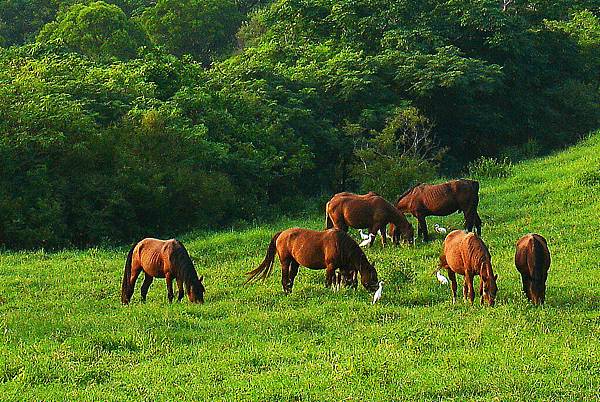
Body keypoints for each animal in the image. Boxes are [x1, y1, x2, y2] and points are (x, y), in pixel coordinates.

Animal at [245, 228, 378, 294]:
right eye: (372, 276)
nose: (376, 289)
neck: (340, 244)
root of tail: (282, 233)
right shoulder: (330, 267)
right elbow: (328, 282)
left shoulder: (343, 267)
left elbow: (346, 280)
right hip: (285, 262)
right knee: (285, 278)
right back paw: (286, 292)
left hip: (295, 262)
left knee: (291, 278)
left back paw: (290, 291)